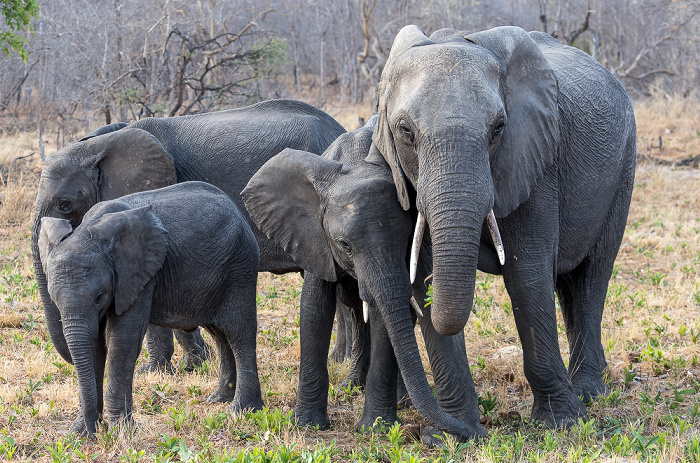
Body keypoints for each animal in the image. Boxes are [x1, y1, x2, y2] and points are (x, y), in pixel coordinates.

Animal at [38, 181, 262, 436]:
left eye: (98, 297)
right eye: (54, 299)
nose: (94, 433)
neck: (88, 231)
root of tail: (235, 209)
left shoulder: (138, 277)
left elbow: (122, 342)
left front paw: (122, 431)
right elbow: (95, 346)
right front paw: (80, 432)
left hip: (240, 266)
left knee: (238, 334)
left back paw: (241, 410)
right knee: (220, 336)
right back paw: (218, 399)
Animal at [241, 117, 486, 442]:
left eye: (407, 240)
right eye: (344, 245)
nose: (474, 433)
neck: (356, 162)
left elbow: (384, 319)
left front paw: (376, 429)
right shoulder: (314, 237)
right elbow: (315, 310)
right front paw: (307, 425)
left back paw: (400, 401)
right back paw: (352, 388)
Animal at [374, 27, 636, 430]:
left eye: (498, 128)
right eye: (405, 131)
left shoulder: (536, 157)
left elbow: (526, 274)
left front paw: (561, 422)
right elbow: (426, 277)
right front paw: (456, 433)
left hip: (625, 163)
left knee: (592, 274)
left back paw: (591, 392)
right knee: (568, 282)